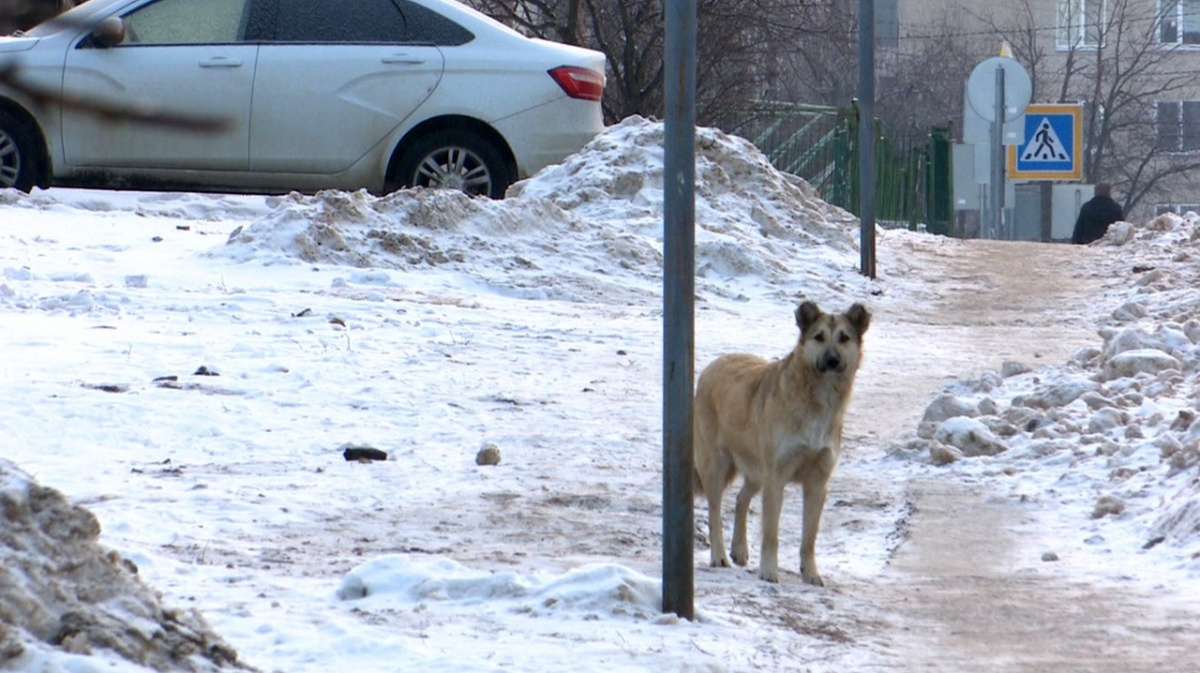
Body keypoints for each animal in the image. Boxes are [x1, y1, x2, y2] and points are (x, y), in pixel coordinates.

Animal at [696, 298, 873, 583]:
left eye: (844, 338)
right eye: (818, 337)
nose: (832, 360)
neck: (819, 400)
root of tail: (714, 364)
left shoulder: (817, 482)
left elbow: (809, 537)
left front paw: (810, 574)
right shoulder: (776, 477)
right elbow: (771, 533)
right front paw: (769, 571)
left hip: (756, 470)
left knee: (741, 499)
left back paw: (739, 550)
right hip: (717, 465)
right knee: (714, 511)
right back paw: (719, 555)